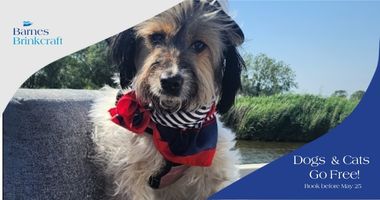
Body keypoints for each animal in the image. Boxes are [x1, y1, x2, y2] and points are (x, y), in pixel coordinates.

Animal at [91, 0, 246, 199]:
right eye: (156, 37)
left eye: (199, 45)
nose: (170, 81)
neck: (174, 129)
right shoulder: (131, 176)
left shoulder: (214, 168)